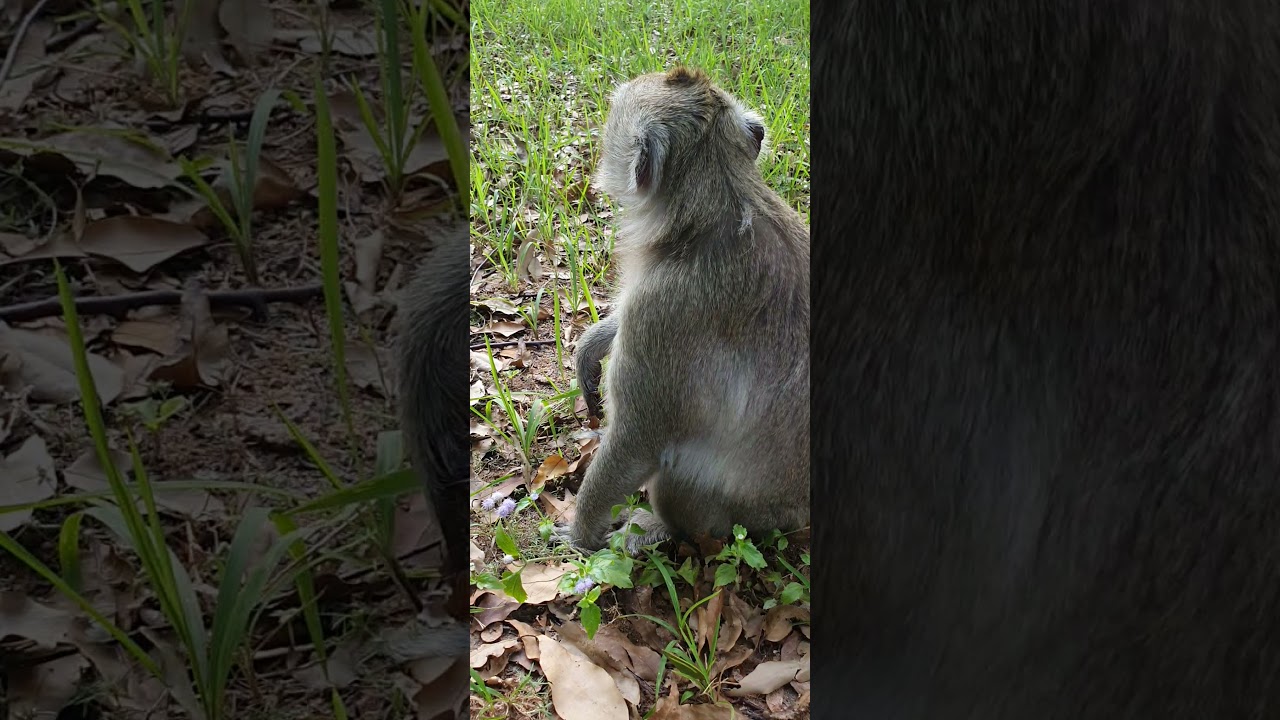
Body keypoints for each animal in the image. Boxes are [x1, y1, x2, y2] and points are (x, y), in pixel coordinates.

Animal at [555, 66, 810, 554]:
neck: (720, 201)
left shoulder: (662, 310)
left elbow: (637, 441)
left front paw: (579, 536)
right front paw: (591, 347)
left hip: (740, 516)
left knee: (678, 475)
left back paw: (660, 528)